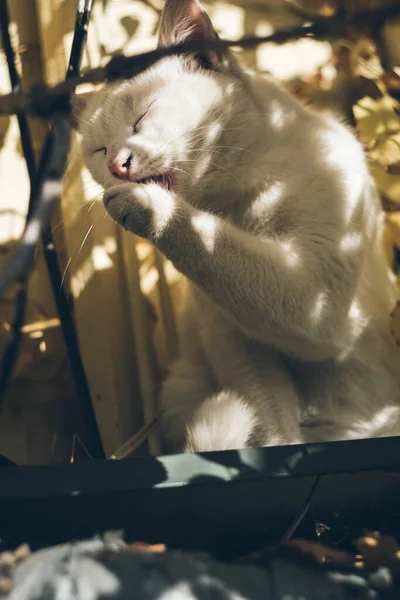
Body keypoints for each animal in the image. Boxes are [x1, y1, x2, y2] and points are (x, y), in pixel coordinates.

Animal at [77, 0, 400, 450]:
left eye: (143, 116)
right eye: (99, 149)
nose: (115, 165)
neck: (237, 204)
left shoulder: (320, 304)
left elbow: (207, 239)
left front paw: (146, 207)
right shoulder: (236, 342)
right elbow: (268, 417)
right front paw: (275, 449)